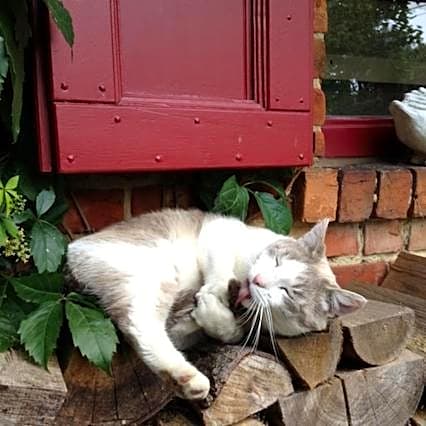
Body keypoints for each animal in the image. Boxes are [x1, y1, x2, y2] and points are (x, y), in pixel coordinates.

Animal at [66, 209, 366, 400]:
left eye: (288, 292)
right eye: (277, 260)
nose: (257, 280)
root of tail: (73, 251)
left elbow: (230, 331)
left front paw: (207, 315)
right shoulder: (218, 231)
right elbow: (219, 273)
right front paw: (213, 295)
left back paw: (185, 379)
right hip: (158, 274)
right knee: (140, 325)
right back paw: (191, 378)